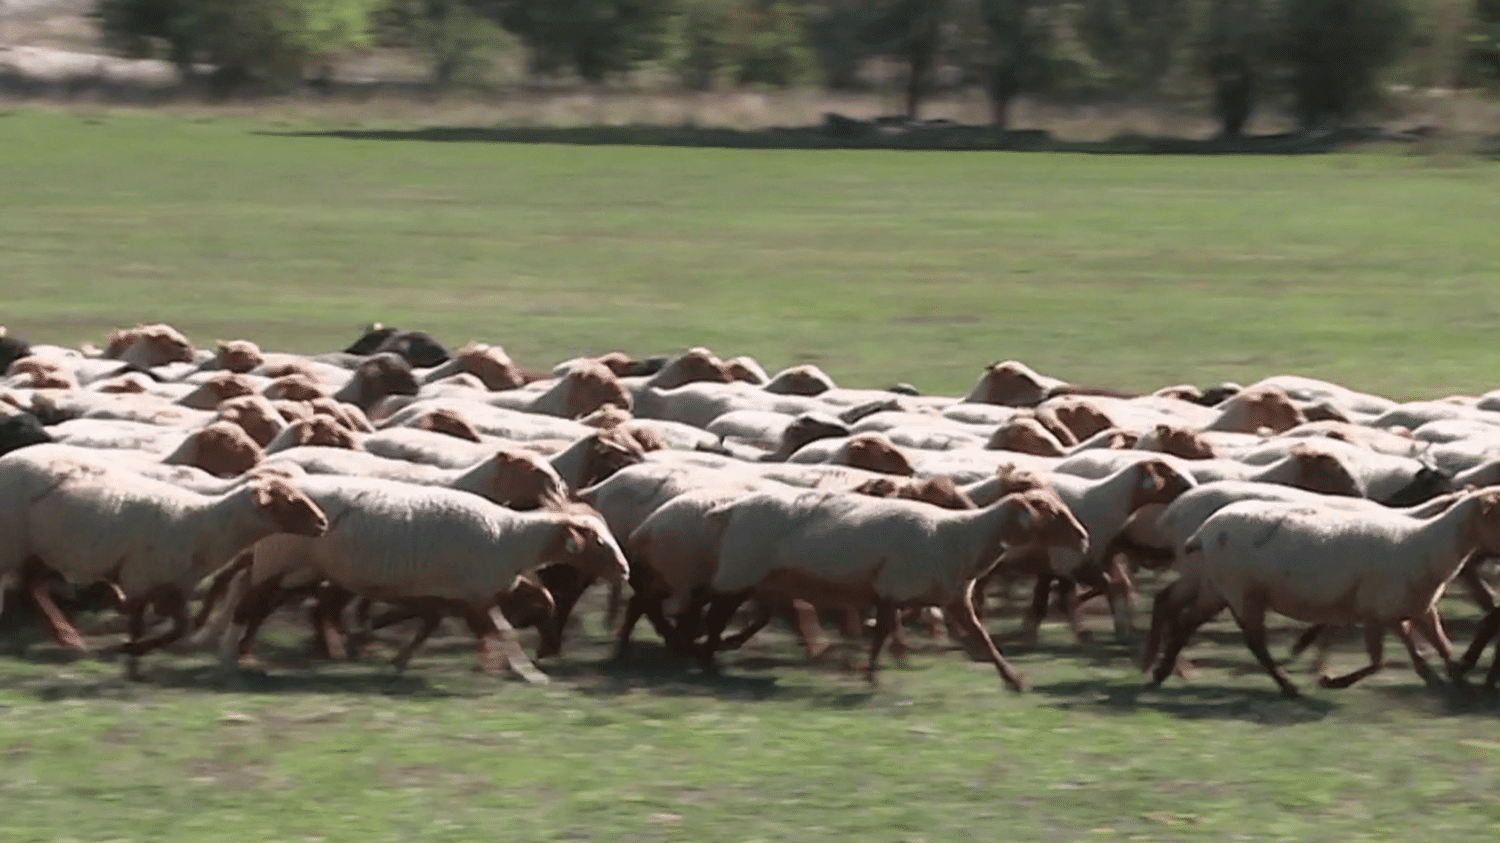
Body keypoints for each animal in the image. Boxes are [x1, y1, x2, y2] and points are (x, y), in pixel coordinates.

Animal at [0, 447, 328, 675]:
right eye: (290, 501)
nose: (323, 523)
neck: (204, 525)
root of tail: (8, 457)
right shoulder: (141, 577)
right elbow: (138, 622)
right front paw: (132, 657)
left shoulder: (173, 586)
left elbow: (180, 627)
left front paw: (135, 655)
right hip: (14, 543)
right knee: (28, 587)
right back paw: (68, 637)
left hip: (37, 550)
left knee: (32, 587)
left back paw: (68, 638)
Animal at [702, 483, 1092, 687]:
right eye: (1052, 513)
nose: (1084, 539)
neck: (960, 538)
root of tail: (733, 507)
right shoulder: (892, 588)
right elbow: (882, 633)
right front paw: (872, 676)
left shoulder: (953, 598)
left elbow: (982, 638)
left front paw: (1012, 680)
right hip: (740, 570)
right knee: (718, 611)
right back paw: (706, 660)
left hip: (761, 578)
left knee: (748, 612)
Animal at [1146, 486, 1500, 696]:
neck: (1423, 543)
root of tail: (1204, 530)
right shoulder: (1377, 611)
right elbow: (1379, 661)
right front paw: (1333, 681)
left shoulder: (1413, 610)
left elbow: (1440, 647)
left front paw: (1454, 679)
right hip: (1240, 590)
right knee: (1253, 641)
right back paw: (1287, 685)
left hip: (1217, 586)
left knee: (1185, 621)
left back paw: (1161, 672)